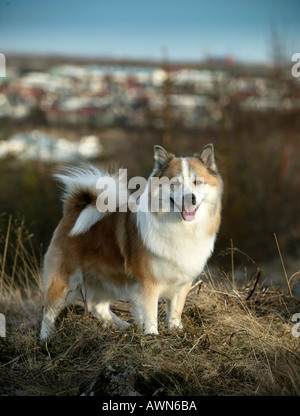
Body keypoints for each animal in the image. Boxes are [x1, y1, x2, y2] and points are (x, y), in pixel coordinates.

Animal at [39, 143, 223, 342]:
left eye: (198, 182)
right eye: (175, 183)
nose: (190, 198)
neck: (179, 226)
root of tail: (76, 207)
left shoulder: (182, 282)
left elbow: (175, 310)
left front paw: (176, 331)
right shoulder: (148, 283)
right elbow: (150, 313)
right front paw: (152, 335)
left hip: (109, 278)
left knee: (97, 306)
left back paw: (123, 326)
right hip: (65, 278)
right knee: (49, 309)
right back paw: (45, 339)